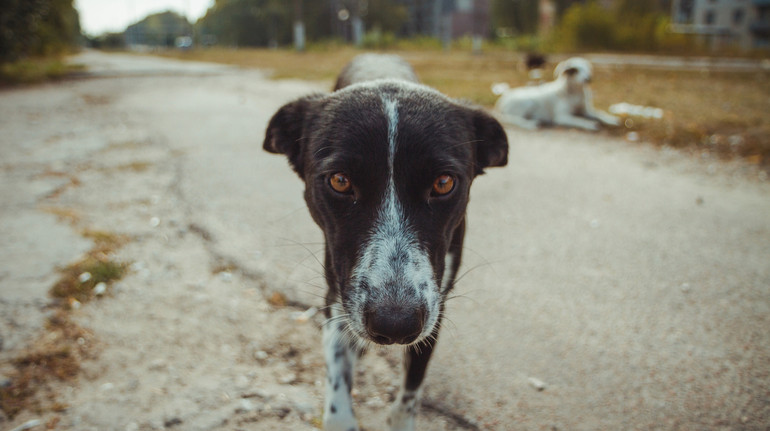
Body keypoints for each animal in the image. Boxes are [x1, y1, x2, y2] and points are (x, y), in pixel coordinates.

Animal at [264, 55, 510, 430]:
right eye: (339, 181)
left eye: (443, 183)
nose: (395, 325)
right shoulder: (338, 290)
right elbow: (338, 384)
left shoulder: (436, 303)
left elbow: (411, 389)